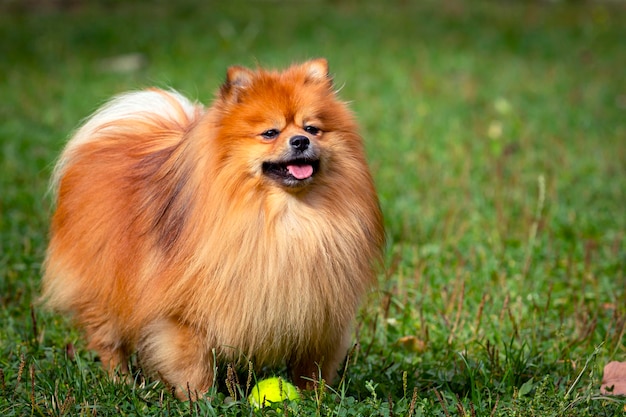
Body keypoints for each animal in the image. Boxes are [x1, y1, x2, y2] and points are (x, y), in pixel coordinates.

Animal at [41, 58, 382, 400]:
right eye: (270, 133)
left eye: (312, 128)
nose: (300, 141)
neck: (287, 217)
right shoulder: (184, 316)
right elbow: (194, 365)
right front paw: (200, 400)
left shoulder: (320, 315)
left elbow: (312, 367)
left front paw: (314, 399)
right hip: (103, 289)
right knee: (108, 341)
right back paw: (121, 382)